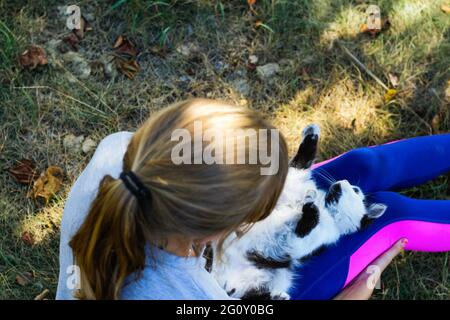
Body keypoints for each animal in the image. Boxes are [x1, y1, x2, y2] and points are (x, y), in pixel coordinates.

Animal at [207, 123, 386, 300]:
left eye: (356, 190)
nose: (343, 181)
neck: (323, 204)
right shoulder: (292, 181)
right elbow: (301, 162)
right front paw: (312, 134)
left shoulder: (299, 245)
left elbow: (303, 229)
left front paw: (311, 209)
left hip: (279, 276)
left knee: (251, 295)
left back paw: (276, 297)